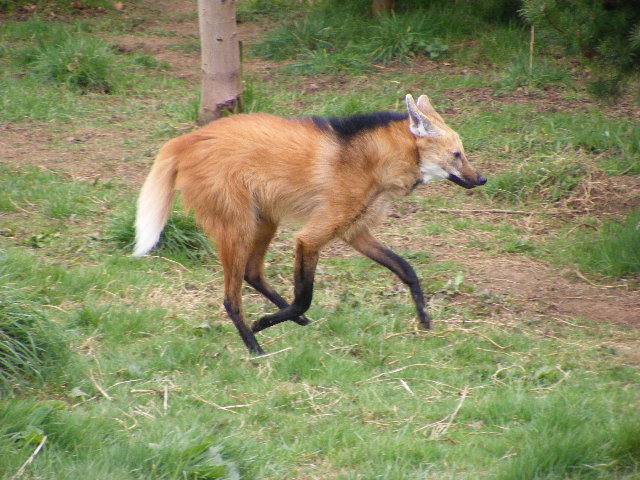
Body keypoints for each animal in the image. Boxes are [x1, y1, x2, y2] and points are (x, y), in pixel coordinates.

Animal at [134, 94, 484, 356]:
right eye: (457, 154)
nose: (481, 179)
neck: (376, 164)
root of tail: (187, 139)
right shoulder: (311, 237)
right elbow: (305, 294)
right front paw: (264, 322)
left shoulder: (355, 232)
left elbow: (406, 269)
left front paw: (424, 319)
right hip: (240, 226)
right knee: (231, 297)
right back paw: (256, 348)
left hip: (265, 219)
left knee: (252, 272)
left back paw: (297, 321)